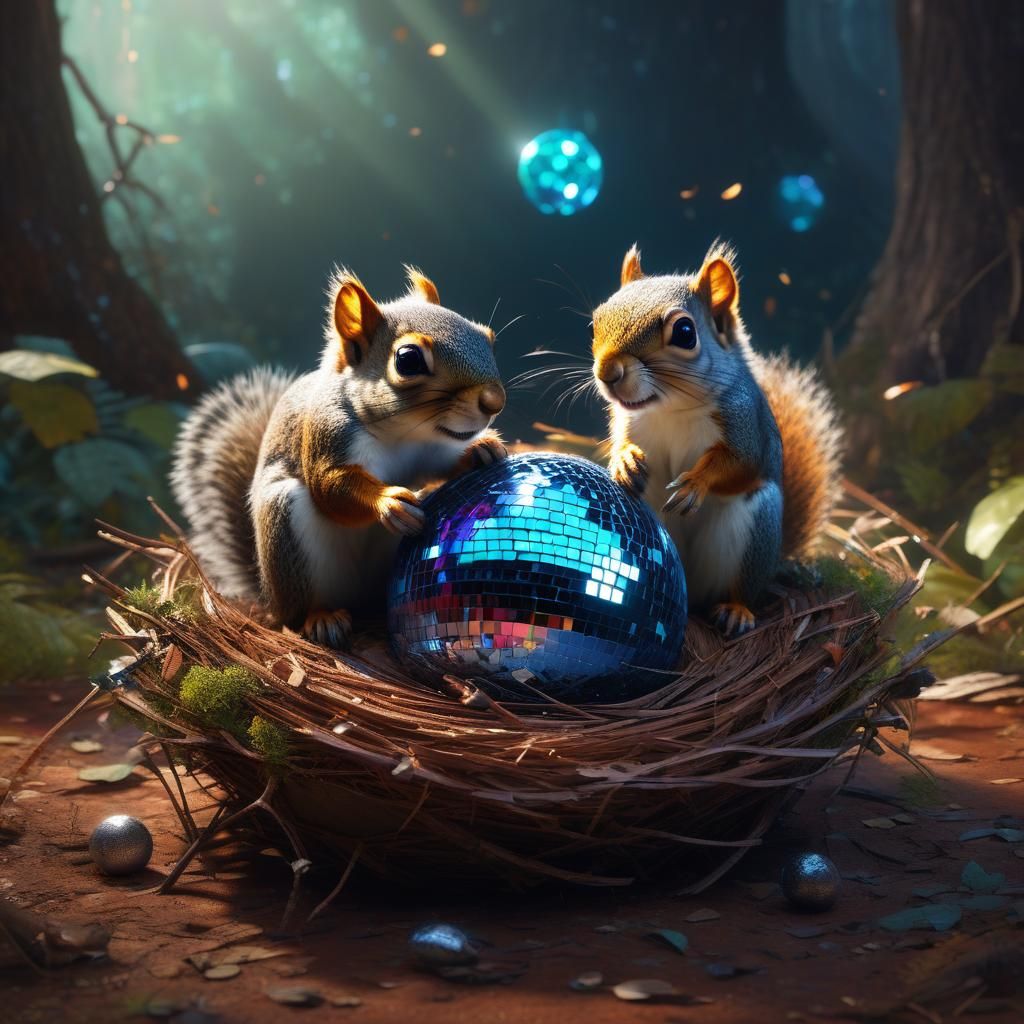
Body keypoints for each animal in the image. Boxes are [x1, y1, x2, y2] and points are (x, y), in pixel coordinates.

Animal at [171, 266, 507, 648]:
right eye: (408, 360)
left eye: (488, 337)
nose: (495, 401)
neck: (404, 433)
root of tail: (268, 598)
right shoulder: (328, 435)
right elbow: (330, 491)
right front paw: (389, 501)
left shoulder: (432, 449)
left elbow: (442, 464)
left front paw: (480, 449)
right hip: (287, 531)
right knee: (300, 609)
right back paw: (322, 618)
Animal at [590, 241, 842, 636]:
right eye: (595, 322)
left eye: (684, 333)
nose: (607, 373)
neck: (671, 408)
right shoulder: (628, 421)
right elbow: (619, 443)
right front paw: (625, 460)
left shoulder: (746, 424)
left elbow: (740, 464)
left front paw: (696, 482)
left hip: (756, 527)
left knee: (740, 587)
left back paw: (736, 610)